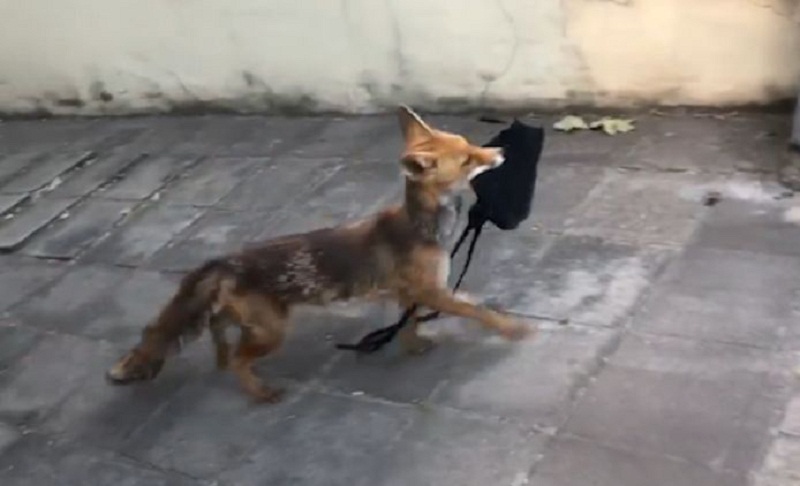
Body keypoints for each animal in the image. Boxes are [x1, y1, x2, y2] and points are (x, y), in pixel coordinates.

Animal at [106, 106, 533, 403]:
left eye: (469, 143)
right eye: (467, 160)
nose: (500, 151)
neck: (424, 227)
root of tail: (224, 261)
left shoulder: (409, 291)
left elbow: (412, 323)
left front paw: (413, 348)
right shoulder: (431, 292)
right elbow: (479, 313)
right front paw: (513, 329)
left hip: (250, 323)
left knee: (218, 333)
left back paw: (222, 358)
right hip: (272, 332)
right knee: (240, 360)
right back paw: (260, 393)